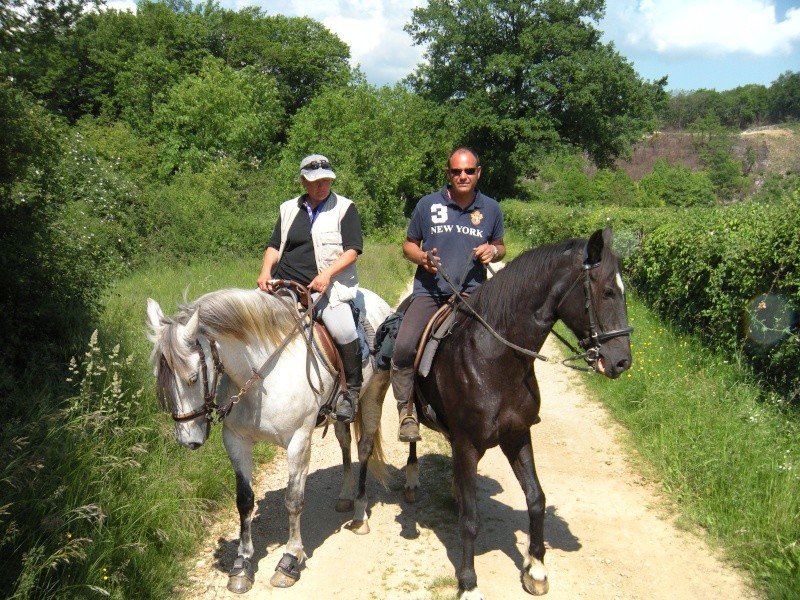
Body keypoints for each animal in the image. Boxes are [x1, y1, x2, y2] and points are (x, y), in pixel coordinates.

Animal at [148, 286, 394, 592]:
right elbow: (244, 501)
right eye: (158, 376)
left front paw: (289, 560)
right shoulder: (236, 441)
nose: (188, 441)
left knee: (364, 448)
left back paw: (360, 514)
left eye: (193, 377)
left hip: (374, 394)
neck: (262, 376)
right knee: (344, 441)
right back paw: (346, 497)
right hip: (340, 417)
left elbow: (294, 500)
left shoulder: (299, 442)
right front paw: (242, 564)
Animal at [406, 227, 632, 596]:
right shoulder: (468, 442)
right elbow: (470, 519)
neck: (494, 358)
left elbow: (536, 498)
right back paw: (412, 478)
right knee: (409, 431)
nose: (622, 361)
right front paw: (469, 585)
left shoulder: (517, 434)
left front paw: (536, 569)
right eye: (608, 291)